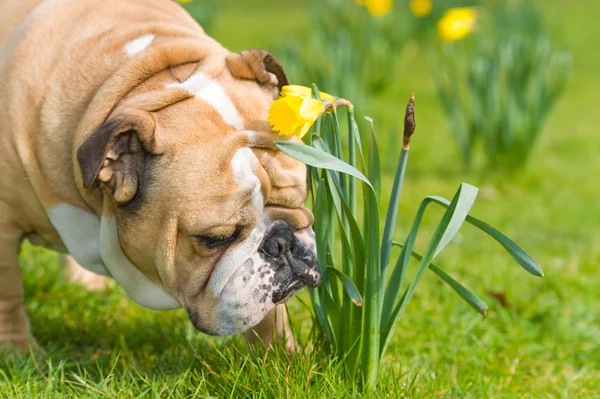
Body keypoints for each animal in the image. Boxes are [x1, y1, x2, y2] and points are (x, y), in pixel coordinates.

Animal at [0, 0, 322, 352]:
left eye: (301, 202)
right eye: (214, 239)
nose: (283, 242)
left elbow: (269, 315)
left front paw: (282, 354)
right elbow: (8, 295)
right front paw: (19, 352)